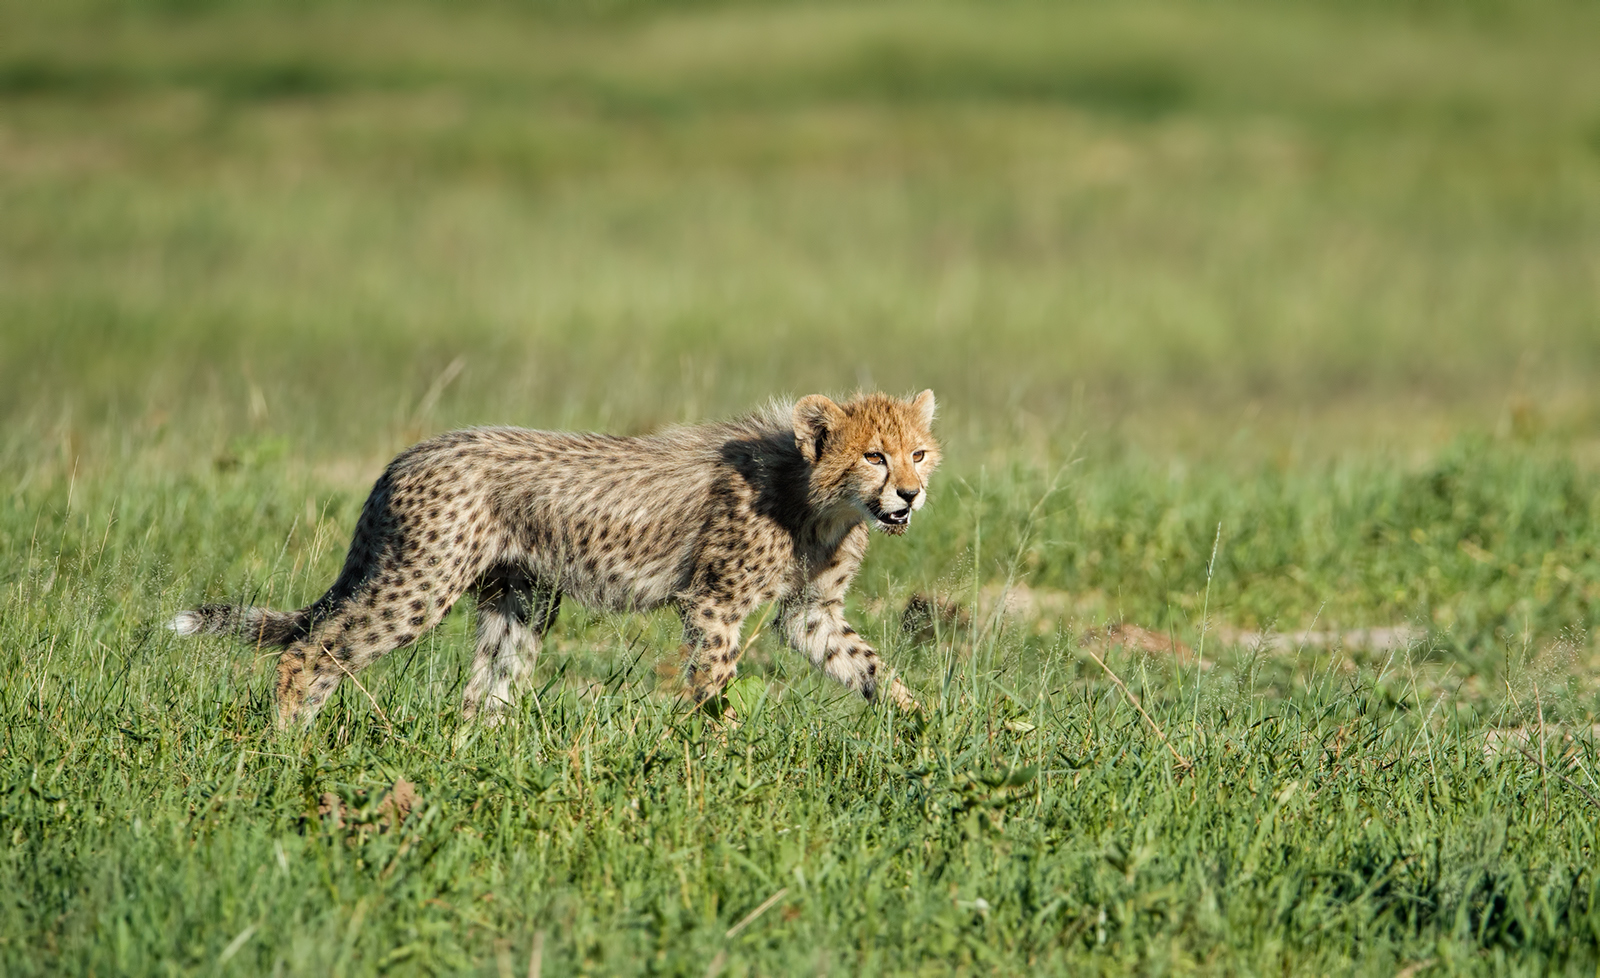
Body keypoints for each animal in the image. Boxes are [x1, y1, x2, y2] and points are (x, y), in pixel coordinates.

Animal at [170, 390, 941, 729]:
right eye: (874, 456)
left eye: (919, 451)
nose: (911, 492)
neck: (818, 500)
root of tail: (411, 451)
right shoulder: (716, 603)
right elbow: (714, 686)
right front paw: (711, 757)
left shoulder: (810, 614)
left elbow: (869, 667)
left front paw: (923, 726)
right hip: (421, 583)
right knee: (313, 651)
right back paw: (287, 745)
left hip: (523, 596)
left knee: (484, 692)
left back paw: (476, 758)